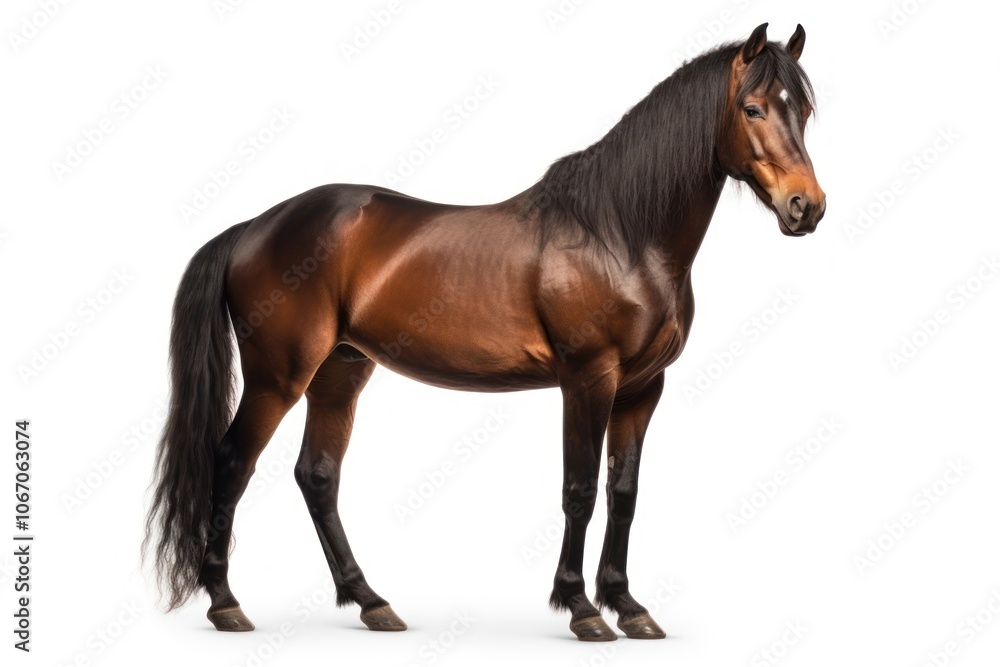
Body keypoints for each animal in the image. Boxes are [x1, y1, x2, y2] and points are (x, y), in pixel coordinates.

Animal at [145, 22, 825, 642]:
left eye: (806, 109)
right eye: (752, 108)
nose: (807, 207)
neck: (619, 234)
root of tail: (255, 226)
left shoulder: (641, 388)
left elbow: (624, 493)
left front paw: (629, 607)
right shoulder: (588, 380)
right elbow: (580, 489)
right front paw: (581, 609)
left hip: (340, 371)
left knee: (317, 475)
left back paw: (371, 602)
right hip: (279, 376)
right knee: (232, 462)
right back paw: (226, 604)